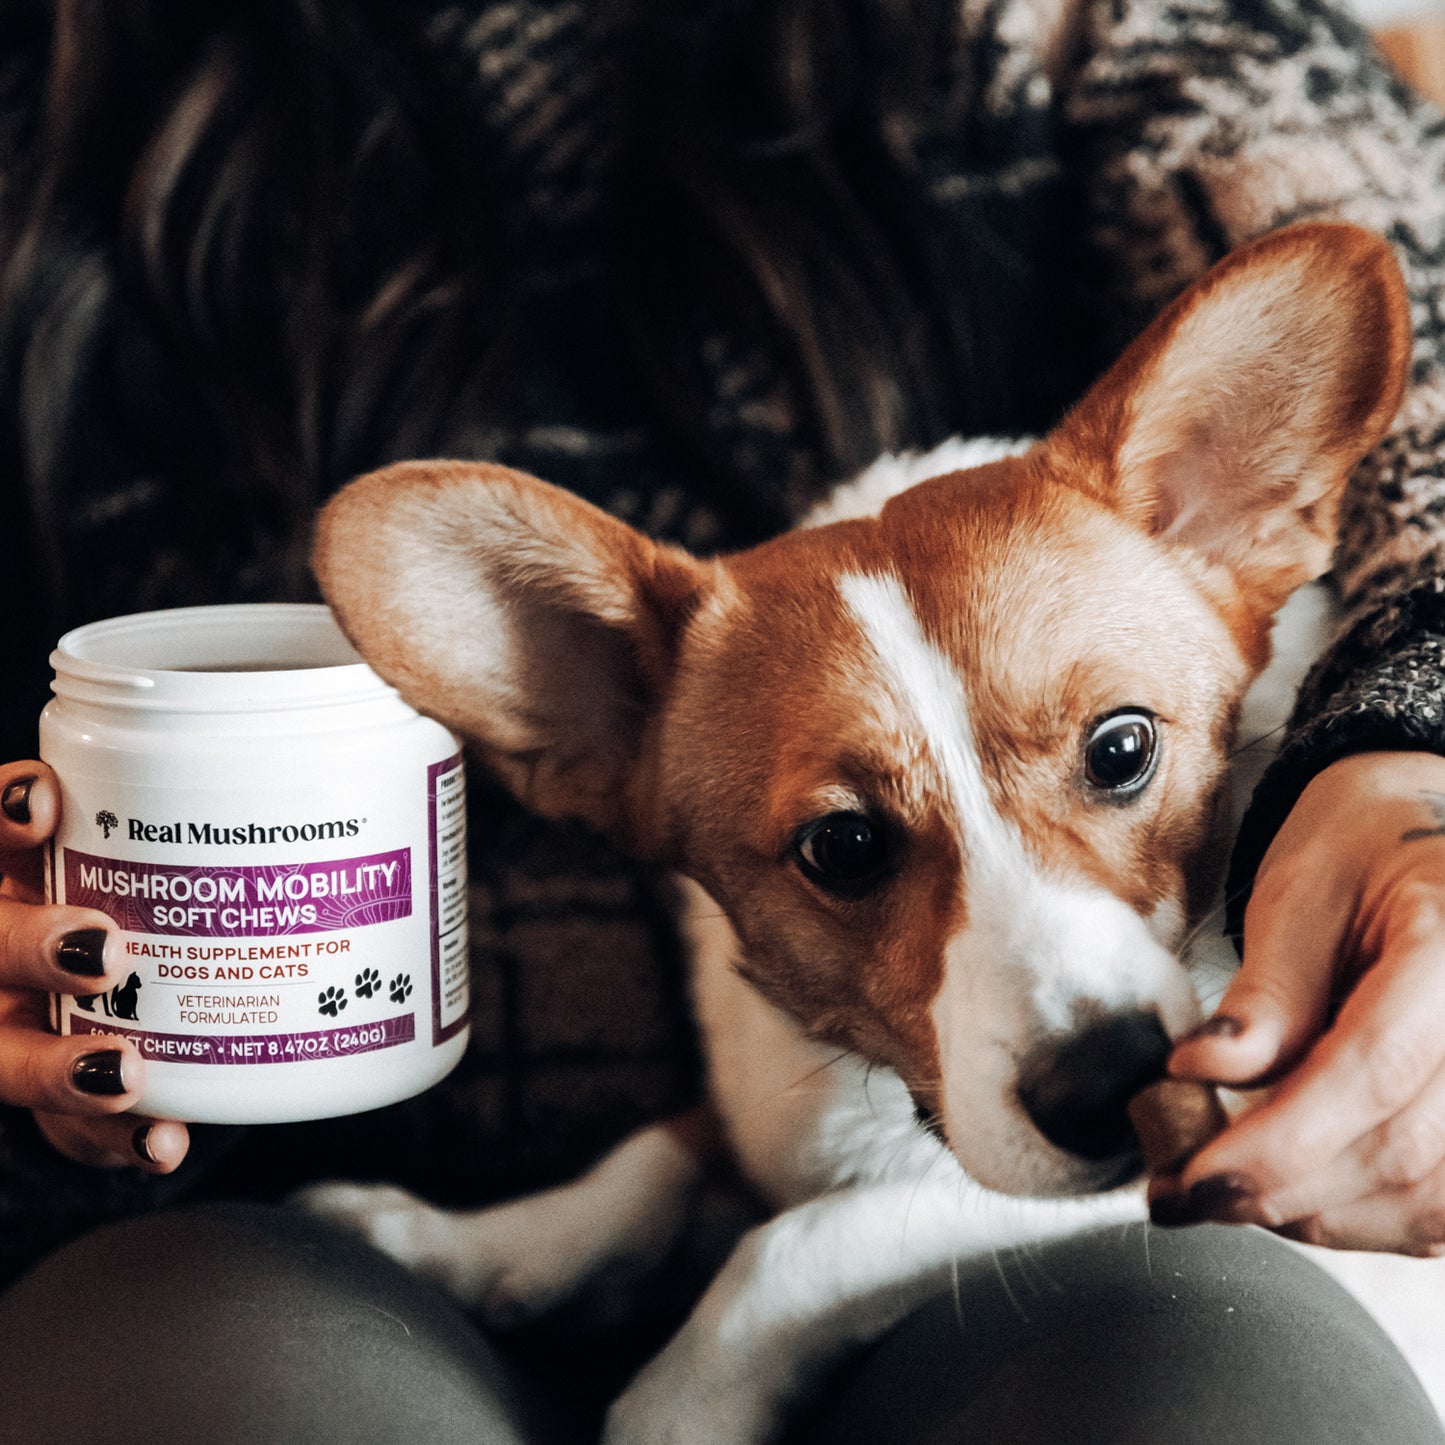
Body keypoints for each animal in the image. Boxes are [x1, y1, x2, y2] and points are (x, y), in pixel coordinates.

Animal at [302, 219, 1433, 1439]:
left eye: (1122, 749)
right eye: (840, 848)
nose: (1110, 1087)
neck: (859, 1078)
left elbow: (790, 1246)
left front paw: (676, 1402)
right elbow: (654, 1158)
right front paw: (470, 1244)